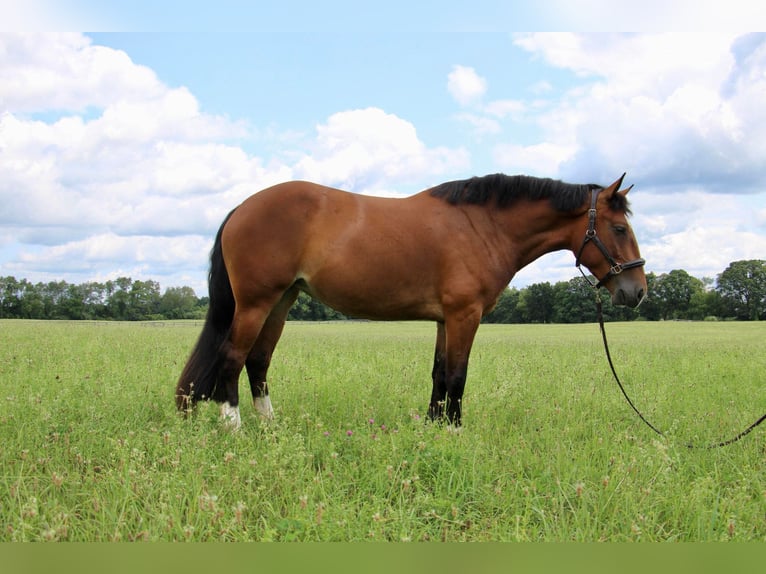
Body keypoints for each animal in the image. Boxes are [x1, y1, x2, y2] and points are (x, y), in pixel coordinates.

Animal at [176, 173, 648, 430]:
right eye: (619, 229)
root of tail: (242, 208)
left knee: (258, 362)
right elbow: (457, 376)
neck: (482, 226)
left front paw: (433, 427)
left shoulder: (444, 319)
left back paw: (271, 426)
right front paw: (454, 433)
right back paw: (235, 429)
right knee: (232, 359)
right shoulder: (464, 315)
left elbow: (439, 374)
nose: (638, 290)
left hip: (281, 302)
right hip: (256, 303)